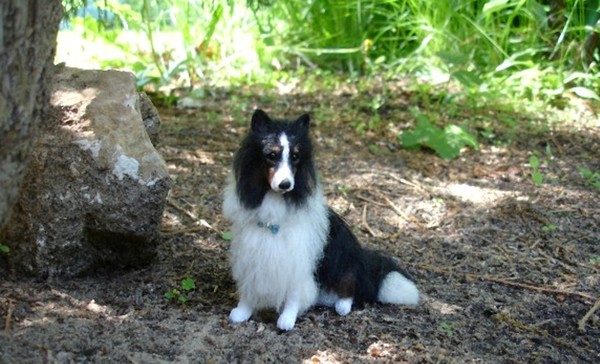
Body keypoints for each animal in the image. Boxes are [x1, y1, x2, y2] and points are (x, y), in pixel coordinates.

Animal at [220, 109, 418, 330]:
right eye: (272, 155)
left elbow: (294, 295)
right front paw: (243, 311)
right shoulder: (250, 255)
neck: (275, 201)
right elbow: (249, 289)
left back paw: (342, 305)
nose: (286, 184)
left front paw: (288, 319)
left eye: (295, 157)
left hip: (345, 262)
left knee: (351, 285)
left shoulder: (297, 260)